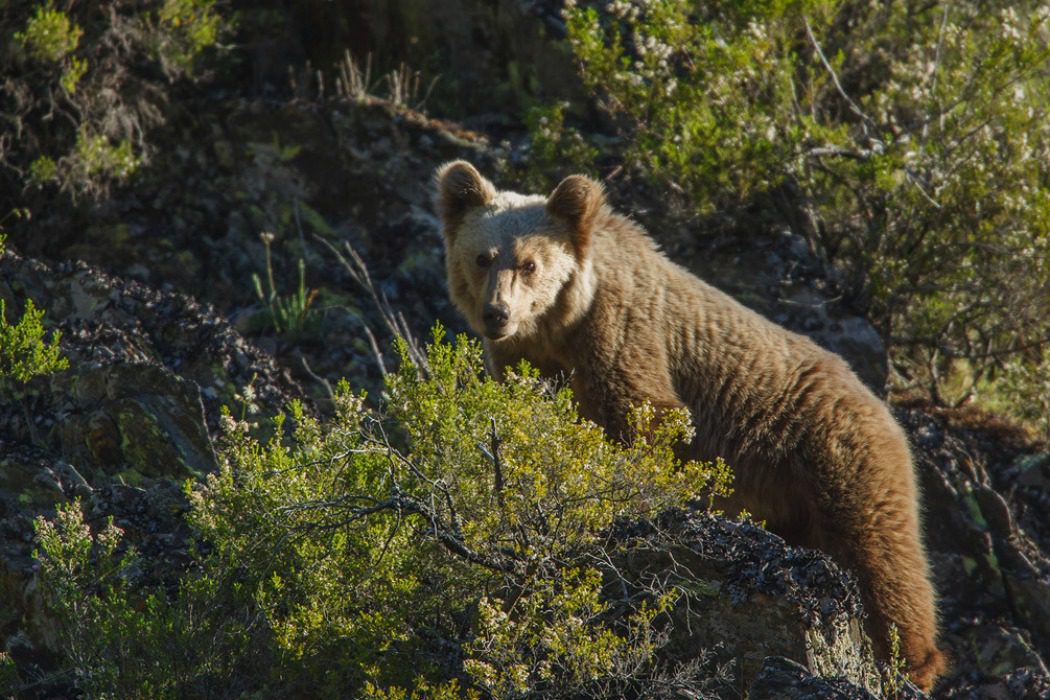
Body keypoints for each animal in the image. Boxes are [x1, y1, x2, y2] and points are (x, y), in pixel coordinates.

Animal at [430, 158, 949, 688]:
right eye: (482, 257)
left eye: (529, 263)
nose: (497, 312)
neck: (561, 327)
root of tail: (883, 407)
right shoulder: (527, 361)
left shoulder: (622, 336)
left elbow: (644, 420)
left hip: (837, 457)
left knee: (880, 557)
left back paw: (911, 664)